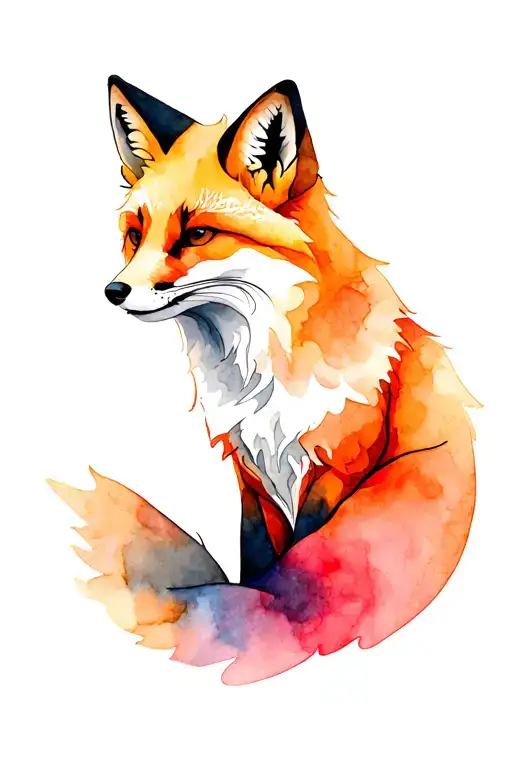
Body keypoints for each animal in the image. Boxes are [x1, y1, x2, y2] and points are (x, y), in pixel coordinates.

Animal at [49, 75, 478, 685]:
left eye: (198, 234)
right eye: (136, 234)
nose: (114, 291)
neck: (264, 376)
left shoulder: (332, 472)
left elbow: (296, 573)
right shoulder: (251, 478)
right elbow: (256, 565)